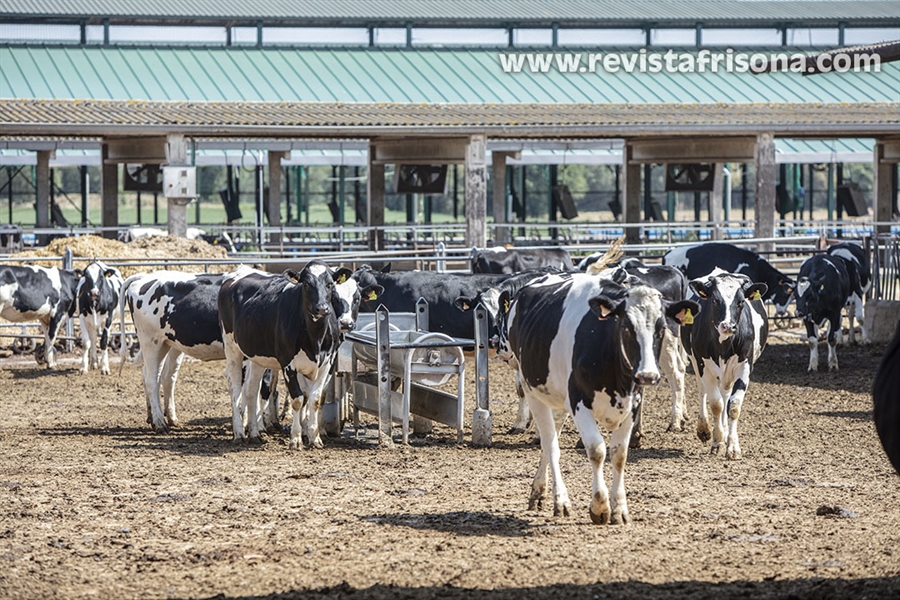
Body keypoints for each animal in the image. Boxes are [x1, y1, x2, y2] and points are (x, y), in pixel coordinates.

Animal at [220, 260, 342, 448]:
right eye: (306, 284)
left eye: (330, 284)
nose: (321, 308)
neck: (315, 337)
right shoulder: (288, 364)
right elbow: (298, 399)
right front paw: (296, 439)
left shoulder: (326, 363)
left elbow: (314, 399)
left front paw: (315, 438)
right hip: (232, 348)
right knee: (235, 389)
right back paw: (239, 433)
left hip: (257, 356)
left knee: (251, 390)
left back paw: (254, 433)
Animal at [506, 270, 696, 524]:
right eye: (626, 327)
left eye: (661, 329)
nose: (647, 375)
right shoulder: (578, 401)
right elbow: (597, 450)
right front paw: (599, 506)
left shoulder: (632, 404)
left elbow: (619, 455)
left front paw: (620, 509)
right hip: (533, 391)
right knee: (550, 443)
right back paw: (561, 500)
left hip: (556, 397)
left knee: (550, 440)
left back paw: (539, 491)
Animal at [684, 270, 768, 458]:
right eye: (715, 300)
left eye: (741, 302)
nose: (728, 326)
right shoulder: (703, 365)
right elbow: (716, 404)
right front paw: (716, 441)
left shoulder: (744, 366)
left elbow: (733, 406)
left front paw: (733, 446)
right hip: (695, 363)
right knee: (703, 391)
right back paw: (705, 429)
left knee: (725, 395)